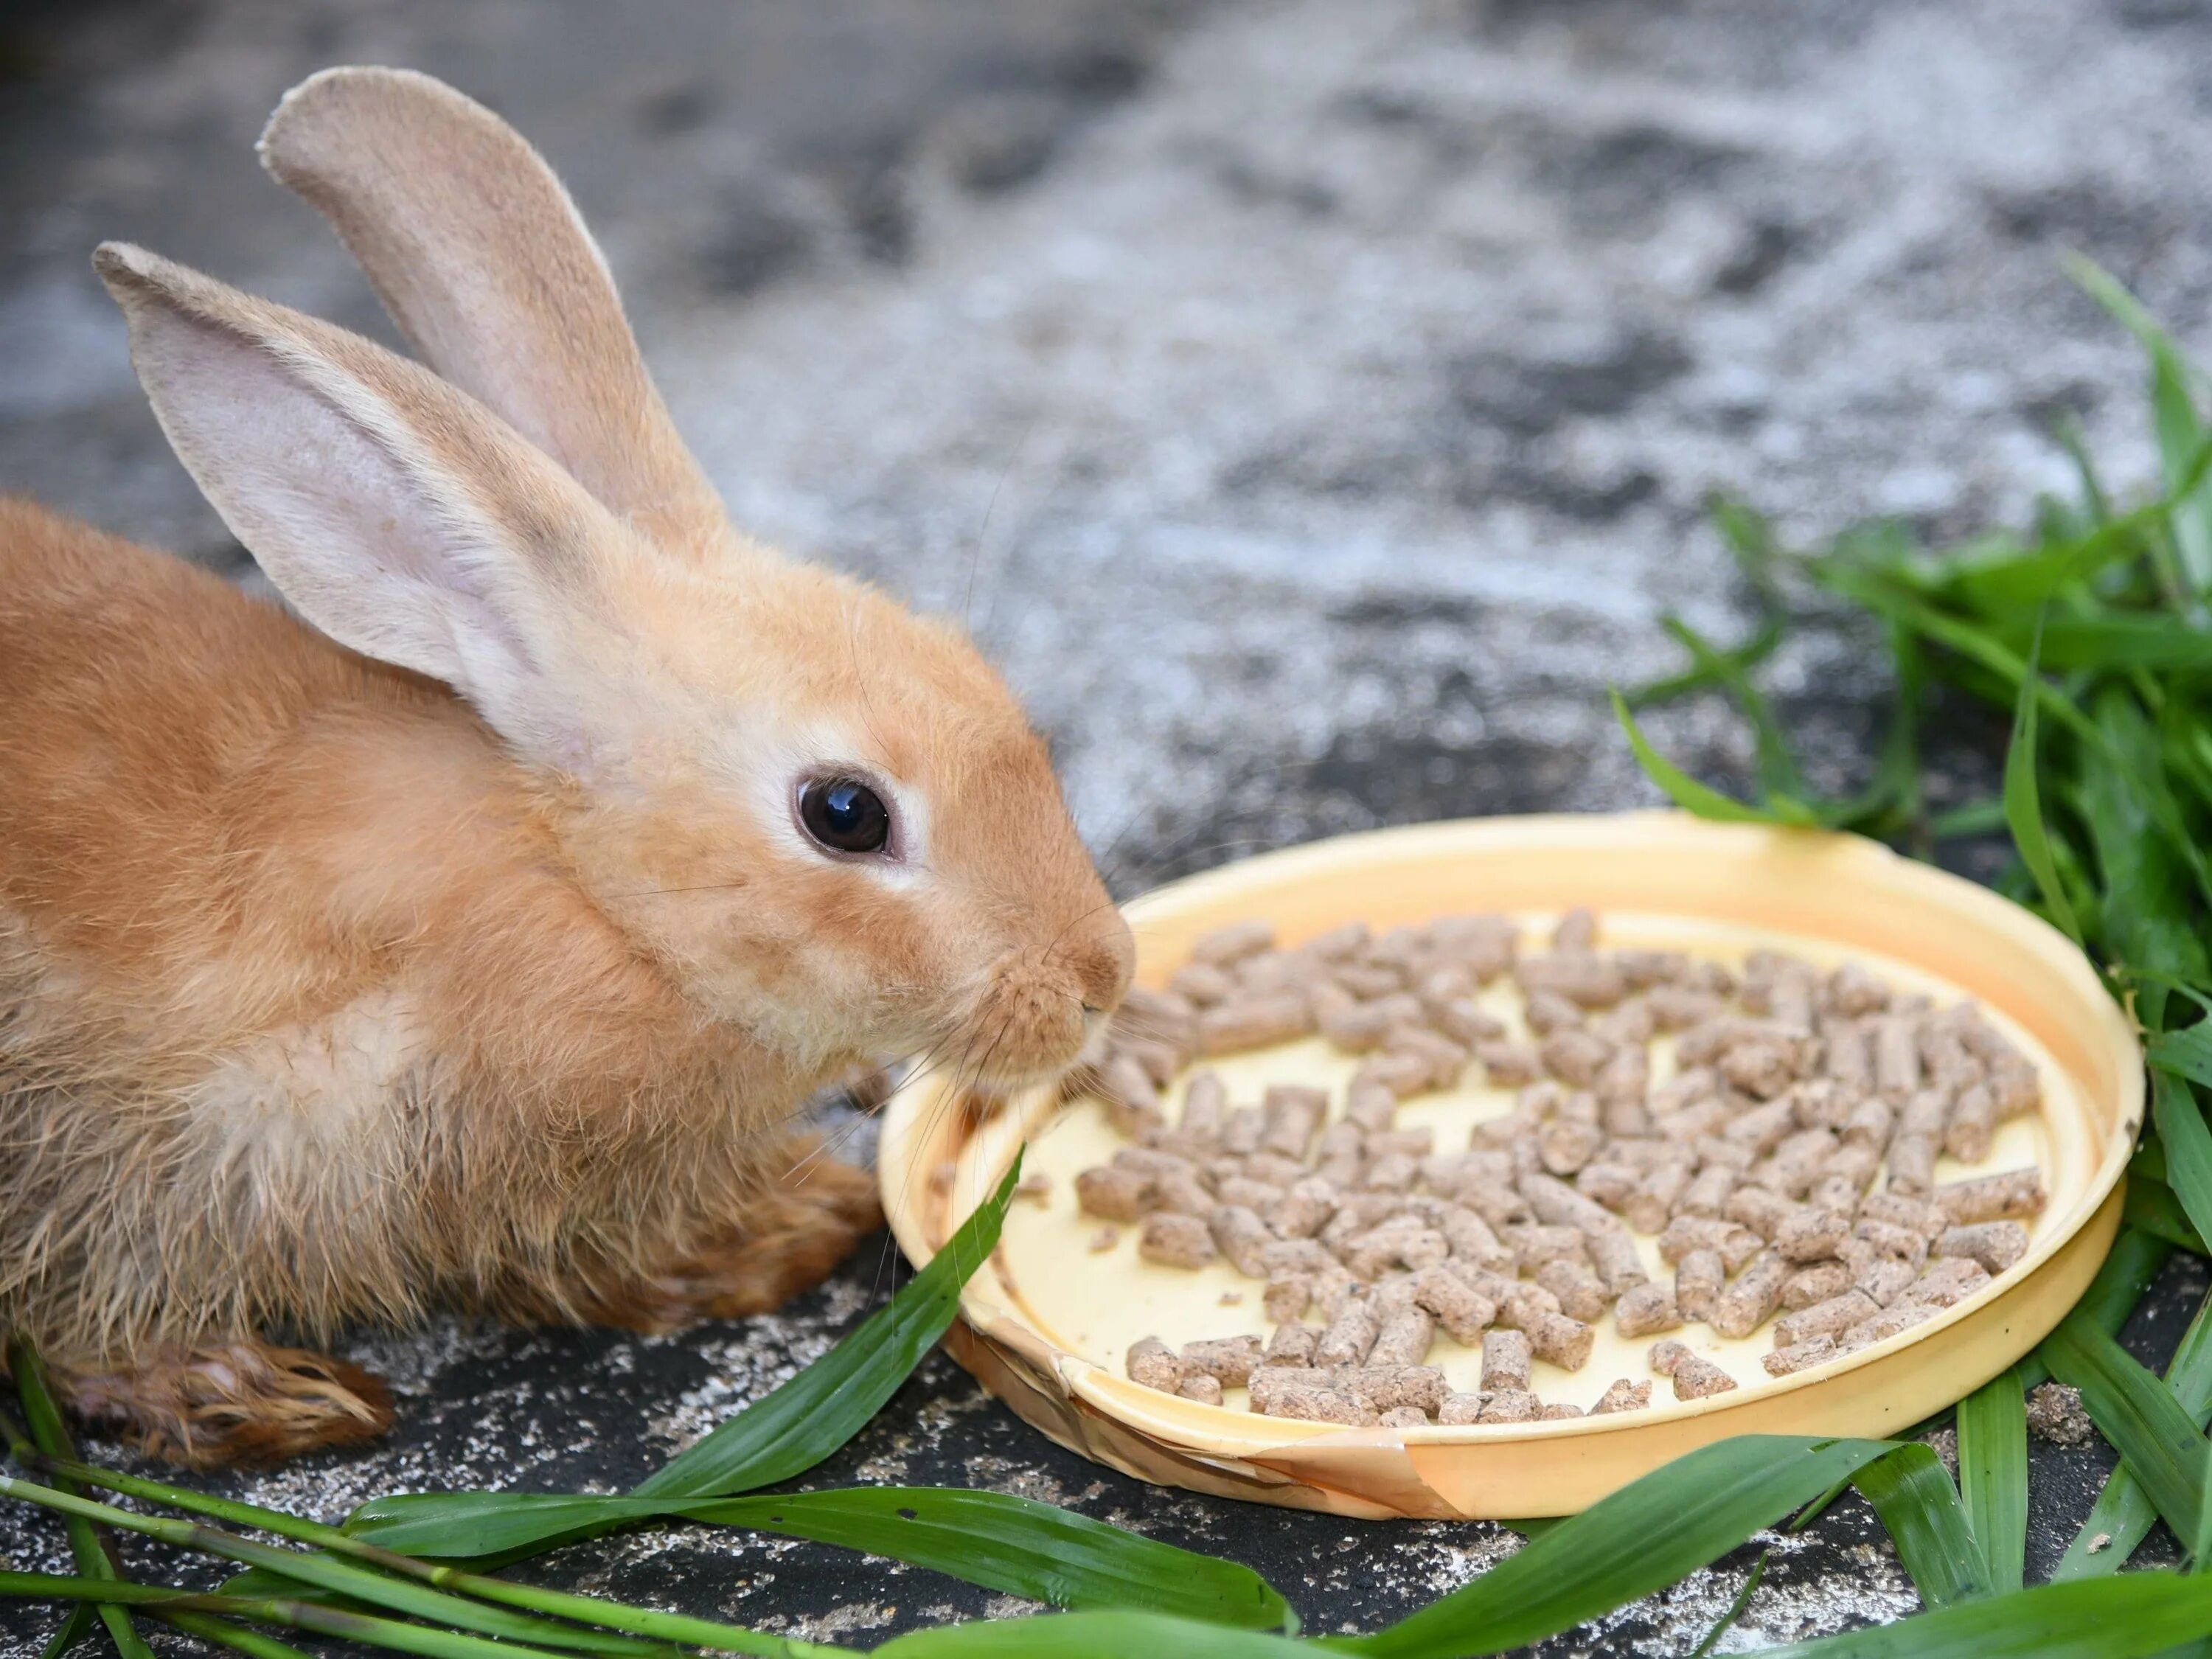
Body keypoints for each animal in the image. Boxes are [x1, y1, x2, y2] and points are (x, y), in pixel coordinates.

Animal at [0, 68, 1133, 1469]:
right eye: (846, 814)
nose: (1100, 979)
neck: (580, 881)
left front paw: (774, 1229)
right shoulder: (121, 1151)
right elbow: (92, 1311)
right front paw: (247, 1395)